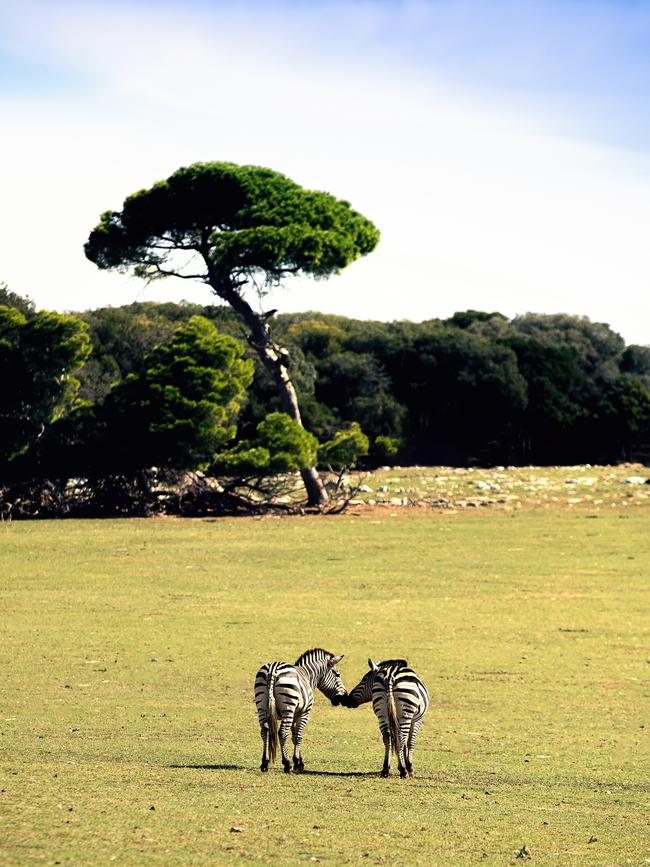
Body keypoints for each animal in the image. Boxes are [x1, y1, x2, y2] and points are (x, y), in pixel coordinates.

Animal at [253, 648, 346, 776]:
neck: (308, 676)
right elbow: (299, 735)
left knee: (264, 731)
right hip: (288, 708)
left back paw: (264, 763)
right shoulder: (304, 713)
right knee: (282, 732)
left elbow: (294, 735)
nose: (345, 696)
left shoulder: (296, 714)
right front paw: (297, 762)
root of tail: (273, 669)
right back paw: (287, 764)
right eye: (337, 674)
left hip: (262, 706)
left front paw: (299, 761)